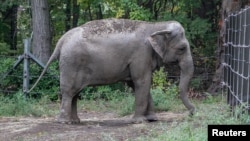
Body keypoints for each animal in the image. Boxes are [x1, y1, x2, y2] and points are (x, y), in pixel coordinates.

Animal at [29, 18, 195, 124]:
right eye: (182, 48)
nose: (192, 112)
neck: (156, 26)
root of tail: (61, 41)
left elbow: (137, 84)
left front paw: (152, 119)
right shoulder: (141, 54)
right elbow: (142, 81)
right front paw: (140, 121)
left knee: (75, 93)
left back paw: (75, 121)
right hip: (71, 64)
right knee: (69, 91)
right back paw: (65, 123)